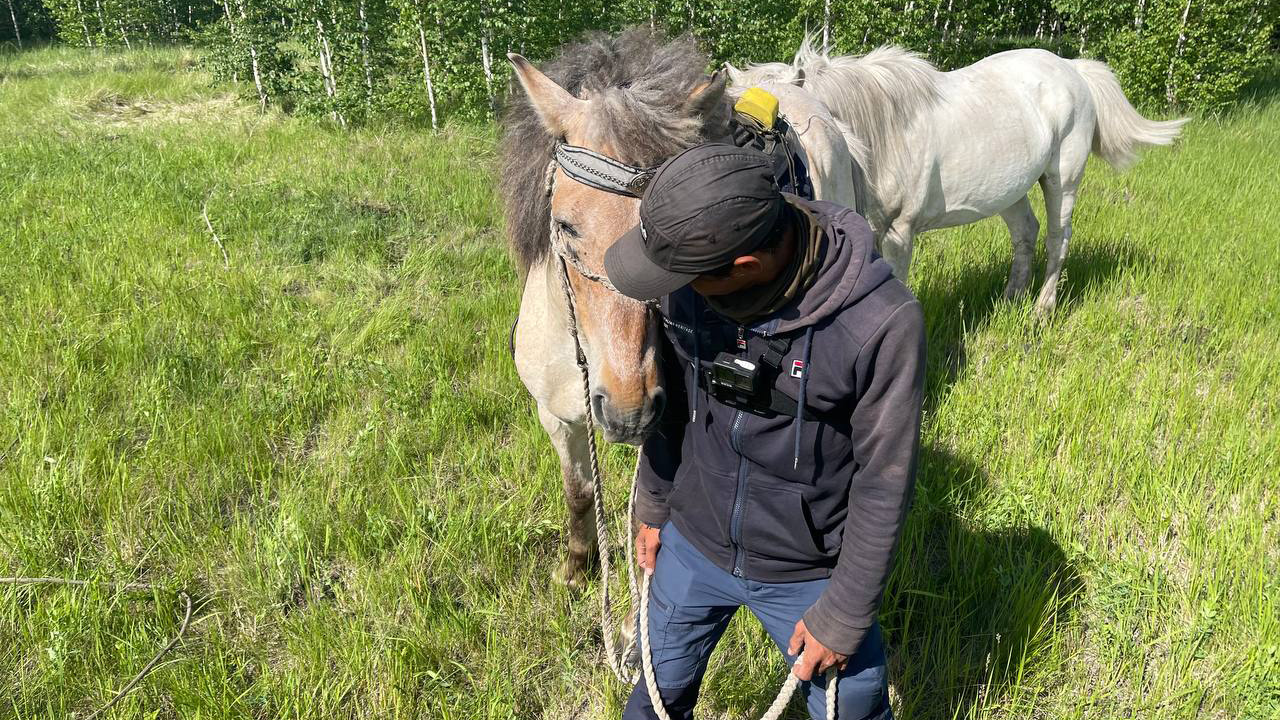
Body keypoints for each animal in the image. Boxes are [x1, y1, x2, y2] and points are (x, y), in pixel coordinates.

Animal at [732, 39, 1187, 308]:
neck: (878, 133)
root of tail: (1072, 69)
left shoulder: (899, 234)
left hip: (1064, 180)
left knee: (1058, 238)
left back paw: (1042, 309)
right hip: (1010, 189)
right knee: (1026, 232)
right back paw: (1010, 302)